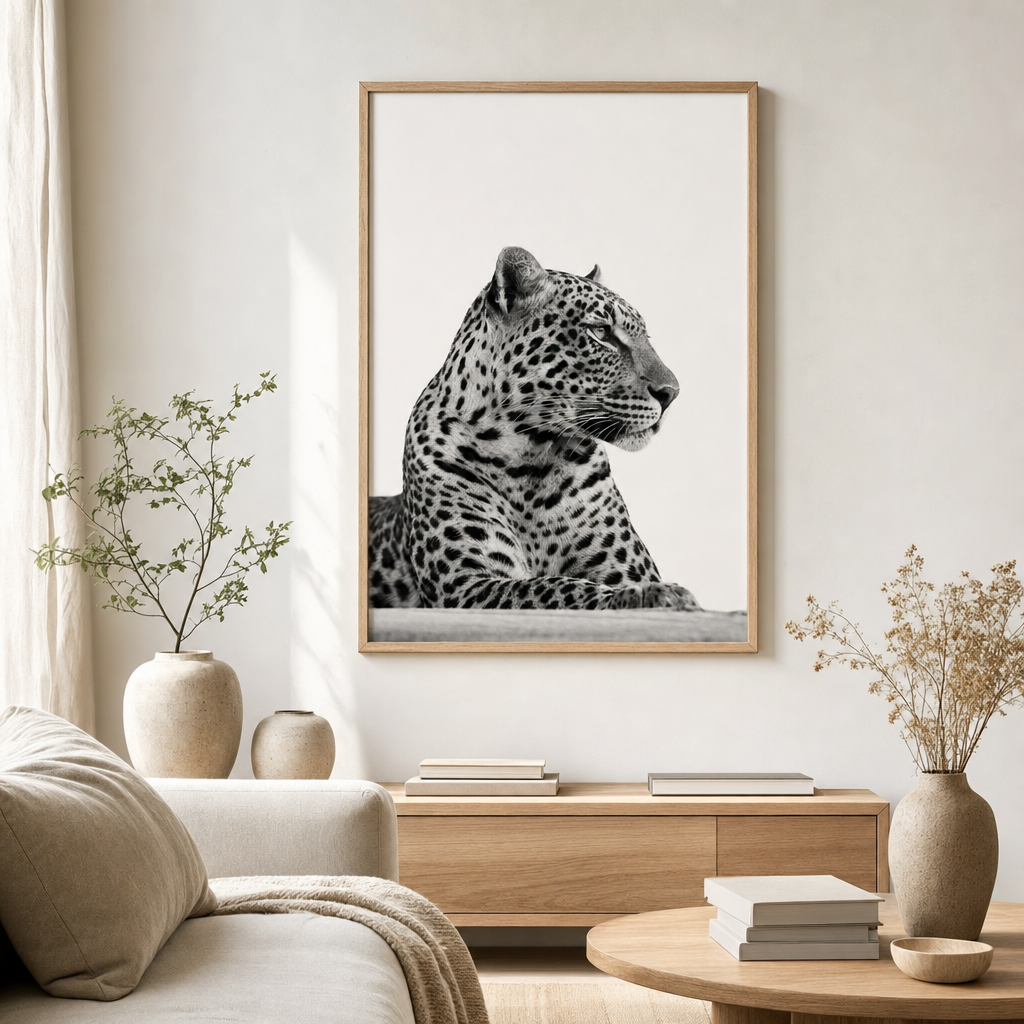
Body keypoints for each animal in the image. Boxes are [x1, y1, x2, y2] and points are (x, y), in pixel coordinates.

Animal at [368, 246, 700, 612]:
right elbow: (555, 588)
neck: (528, 457)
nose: (672, 392)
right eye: (601, 333)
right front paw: (651, 596)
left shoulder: (627, 567)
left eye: (645, 337)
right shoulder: (465, 587)